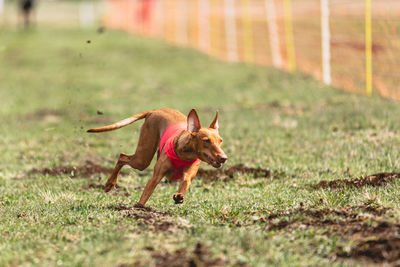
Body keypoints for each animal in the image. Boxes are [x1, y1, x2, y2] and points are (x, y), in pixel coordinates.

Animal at [86, 109, 228, 207]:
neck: (185, 154)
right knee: (122, 156)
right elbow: (146, 194)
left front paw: (179, 196)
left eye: (220, 141)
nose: (224, 158)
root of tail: (155, 110)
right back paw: (109, 184)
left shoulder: (188, 176)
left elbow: (185, 183)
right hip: (142, 159)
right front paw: (138, 208)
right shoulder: (156, 176)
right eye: (206, 140)